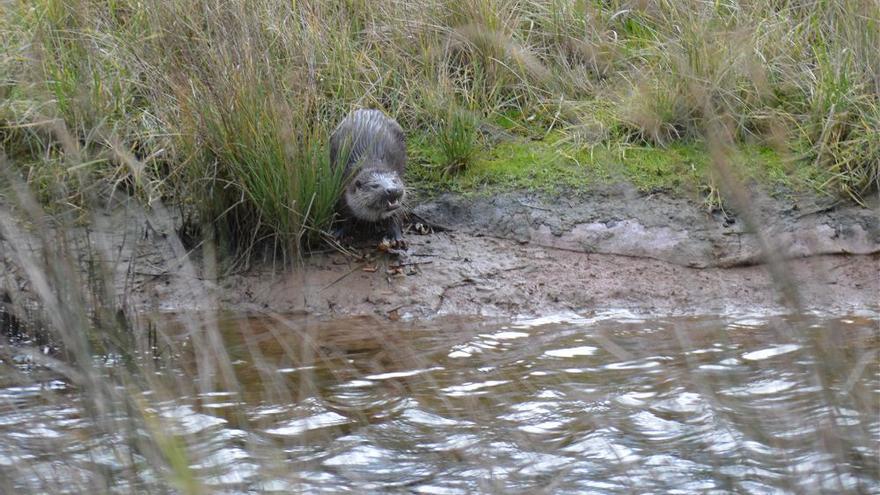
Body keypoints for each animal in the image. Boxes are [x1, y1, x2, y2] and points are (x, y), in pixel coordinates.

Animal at [330, 110, 410, 246]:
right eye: (375, 185)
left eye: (394, 181)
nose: (392, 190)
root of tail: (368, 110)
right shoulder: (342, 193)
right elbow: (343, 215)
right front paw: (339, 232)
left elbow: (396, 216)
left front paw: (397, 237)